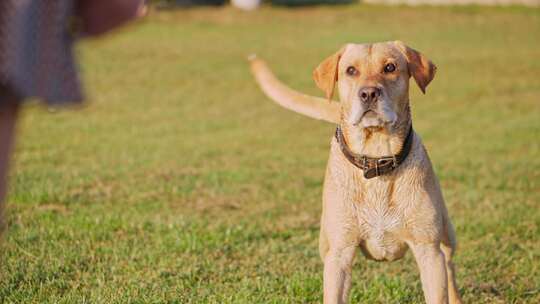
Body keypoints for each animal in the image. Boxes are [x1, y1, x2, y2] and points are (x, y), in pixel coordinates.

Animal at [251, 41, 462, 304]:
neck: (375, 162)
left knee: (450, 267)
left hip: (446, 236)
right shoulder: (339, 256)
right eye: (351, 70)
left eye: (390, 67)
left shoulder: (428, 250)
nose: (368, 93)